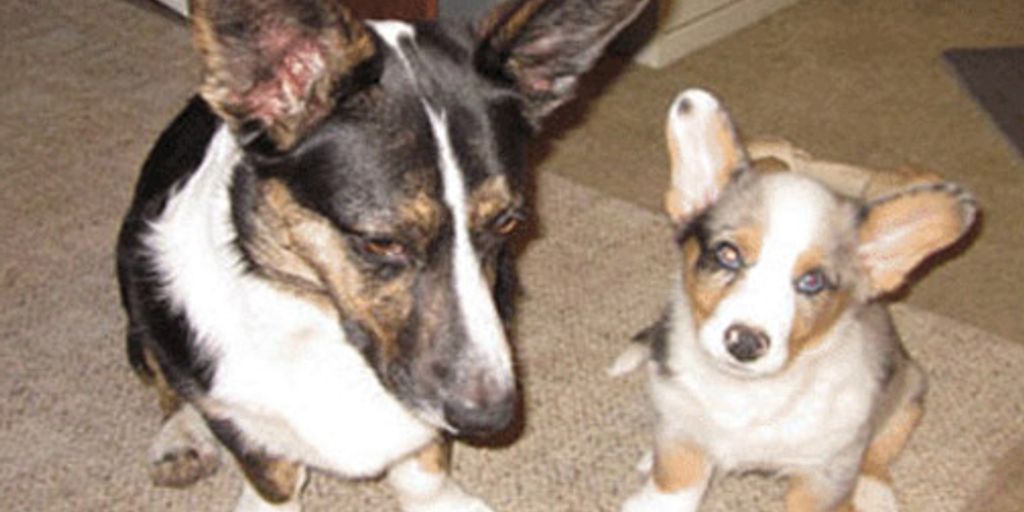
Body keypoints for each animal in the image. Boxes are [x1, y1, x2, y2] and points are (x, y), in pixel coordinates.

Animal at [610, 90, 978, 509]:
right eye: (728, 254)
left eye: (812, 281)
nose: (745, 343)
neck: (745, 393)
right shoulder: (680, 435)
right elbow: (675, 480)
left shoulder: (825, 472)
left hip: (910, 390)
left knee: (882, 448)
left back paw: (876, 492)